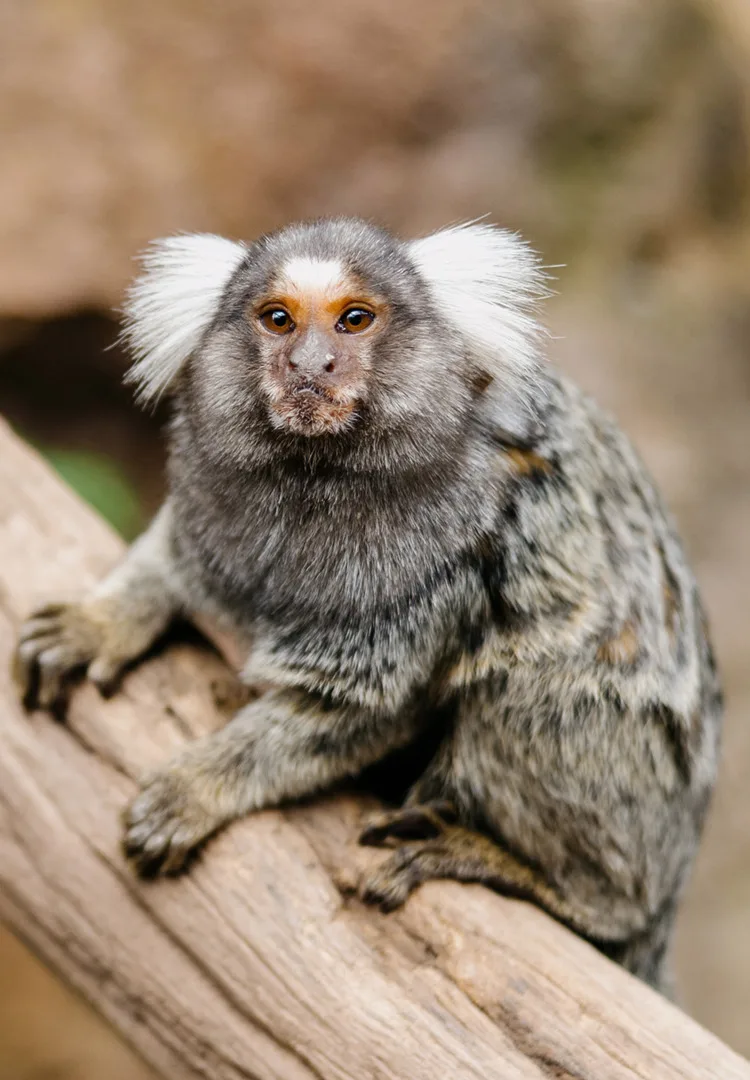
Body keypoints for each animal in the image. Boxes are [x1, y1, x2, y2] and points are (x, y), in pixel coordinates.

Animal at [13, 217, 722, 994]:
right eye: (278, 320)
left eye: (355, 320)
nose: (311, 365)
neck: (317, 478)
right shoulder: (210, 506)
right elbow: (174, 558)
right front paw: (99, 625)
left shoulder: (446, 568)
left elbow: (356, 709)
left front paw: (195, 788)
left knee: (527, 700)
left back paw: (532, 875)